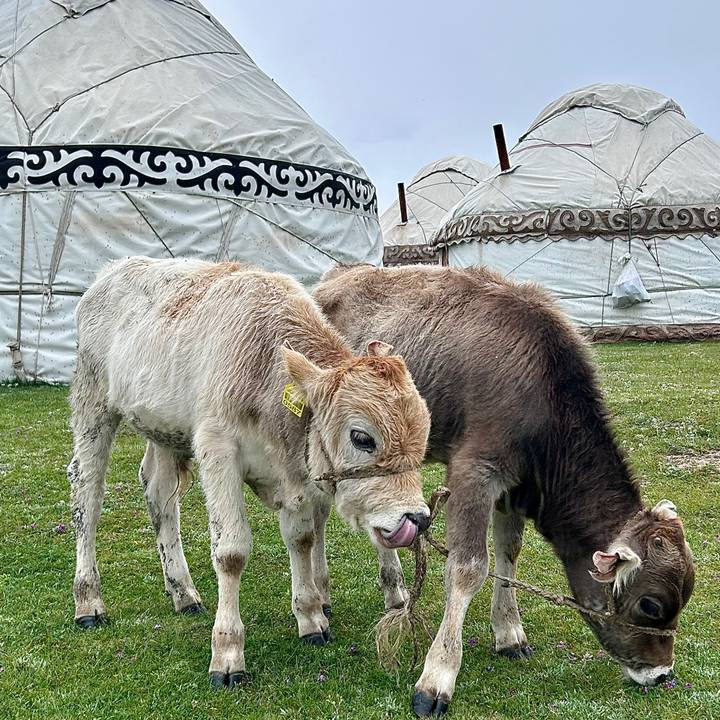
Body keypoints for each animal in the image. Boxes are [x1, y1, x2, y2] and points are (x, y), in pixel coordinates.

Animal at [68, 257, 431, 688]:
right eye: (362, 437)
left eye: (424, 433)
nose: (418, 518)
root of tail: (113, 270)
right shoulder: (217, 448)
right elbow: (231, 552)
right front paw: (227, 653)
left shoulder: (292, 474)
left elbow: (301, 539)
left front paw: (311, 617)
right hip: (93, 404)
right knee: (87, 496)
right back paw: (88, 600)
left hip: (164, 430)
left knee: (160, 495)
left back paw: (183, 592)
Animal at [313, 263, 696, 717]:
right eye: (650, 604)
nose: (663, 674)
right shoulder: (473, 471)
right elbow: (468, 568)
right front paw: (436, 679)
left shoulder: (514, 485)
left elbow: (508, 554)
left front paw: (509, 633)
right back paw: (318, 600)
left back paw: (394, 591)